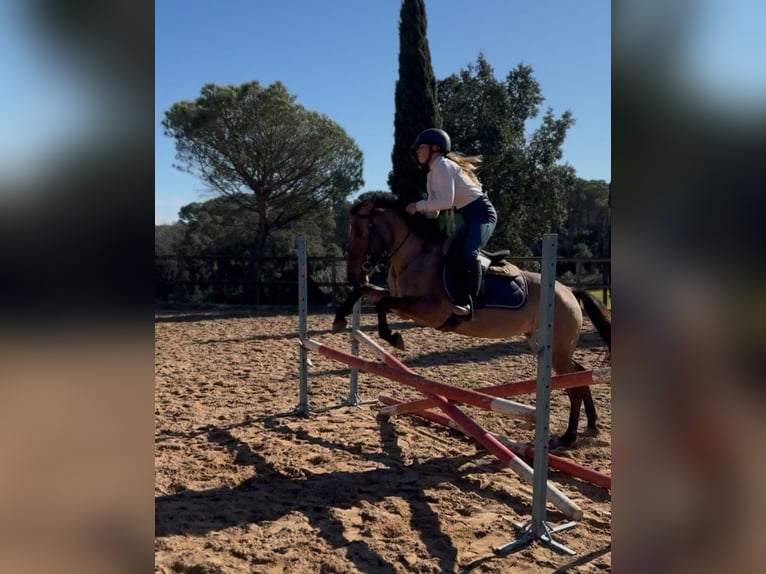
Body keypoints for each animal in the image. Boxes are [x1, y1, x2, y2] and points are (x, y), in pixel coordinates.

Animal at [332, 195, 609, 447]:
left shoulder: (428, 310)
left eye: (358, 232)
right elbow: (367, 292)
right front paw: (339, 319)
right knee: (580, 374)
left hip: (556, 350)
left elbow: (382, 304)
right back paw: (591, 425)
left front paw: (394, 338)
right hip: (548, 346)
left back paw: (568, 436)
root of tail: (568, 291)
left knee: (574, 387)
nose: (352, 275)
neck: (414, 255)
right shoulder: (403, 305)